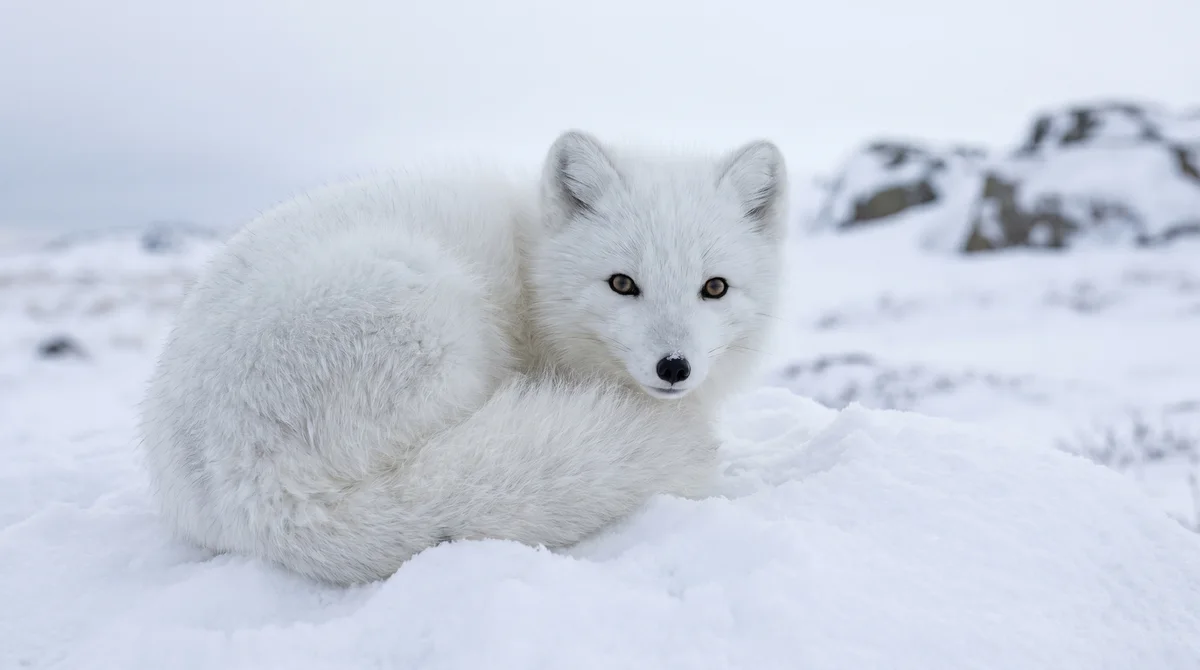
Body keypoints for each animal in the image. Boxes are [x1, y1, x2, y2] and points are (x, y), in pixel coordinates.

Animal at [138, 130, 789, 585]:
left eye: (714, 287)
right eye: (622, 284)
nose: (673, 368)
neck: (532, 271)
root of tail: (252, 492)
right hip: (436, 311)